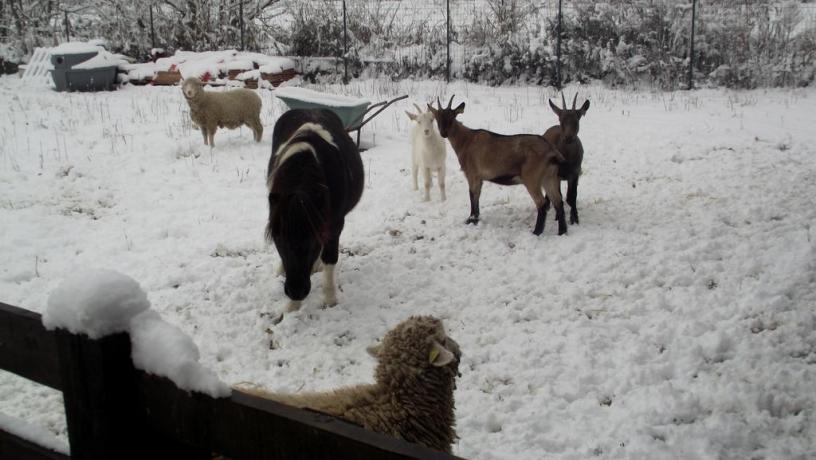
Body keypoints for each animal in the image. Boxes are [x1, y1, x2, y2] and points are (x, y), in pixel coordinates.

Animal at [268, 108, 364, 312]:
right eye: (278, 240)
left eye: (313, 240)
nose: (296, 291)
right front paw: (292, 308)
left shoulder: (333, 226)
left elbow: (330, 258)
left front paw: (330, 299)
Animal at [428, 95, 568, 235]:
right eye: (437, 117)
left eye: (452, 117)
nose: (444, 133)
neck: (466, 141)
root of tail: (552, 152)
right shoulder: (480, 177)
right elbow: (477, 195)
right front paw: (476, 218)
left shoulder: (472, 173)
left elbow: (472, 194)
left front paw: (471, 219)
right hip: (549, 177)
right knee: (558, 201)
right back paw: (562, 231)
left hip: (532, 178)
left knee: (542, 203)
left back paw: (536, 232)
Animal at [544, 91, 588, 225]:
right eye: (561, 120)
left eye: (576, 120)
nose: (568, 137)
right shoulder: (556, 174)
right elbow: (560, 196)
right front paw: (560, 216)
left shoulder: (575, 173)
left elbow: (571, 197)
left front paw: (575, 217)